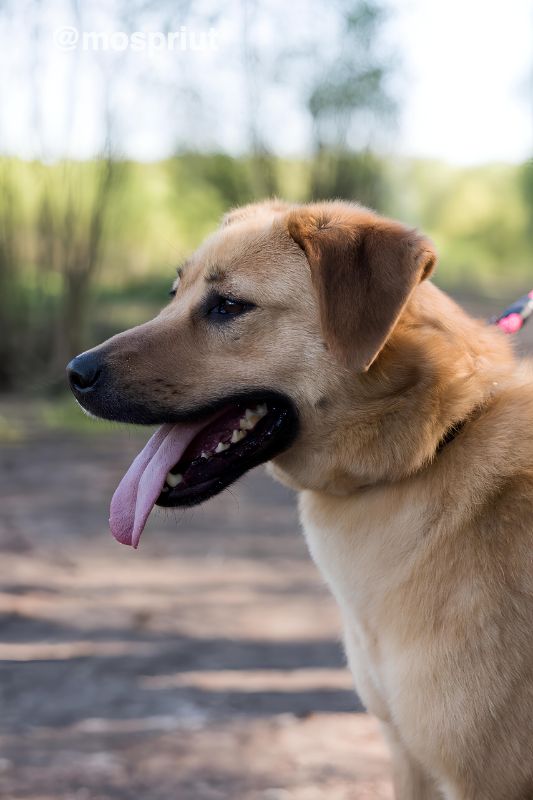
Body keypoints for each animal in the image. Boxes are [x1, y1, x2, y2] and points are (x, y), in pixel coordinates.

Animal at [66, 202, 532, 800]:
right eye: (174, 292)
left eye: (229, 305)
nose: (75, 374)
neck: (431, 446)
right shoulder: (407, 755)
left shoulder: (487, 777)